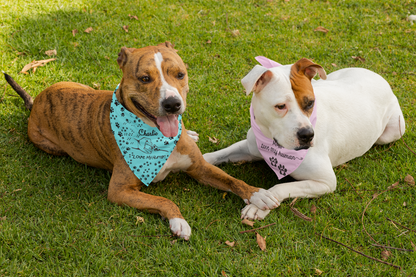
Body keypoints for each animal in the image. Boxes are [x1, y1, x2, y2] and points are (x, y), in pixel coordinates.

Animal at [203, 56, 404, 220]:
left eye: (310, 103)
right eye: (280, 106)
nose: (307, 135)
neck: (272, 143)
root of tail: (376, 75)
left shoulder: (325, 182)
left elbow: (282, 187)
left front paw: (259, 204)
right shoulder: (250, 147)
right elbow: (218, 154)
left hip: (391, 132)